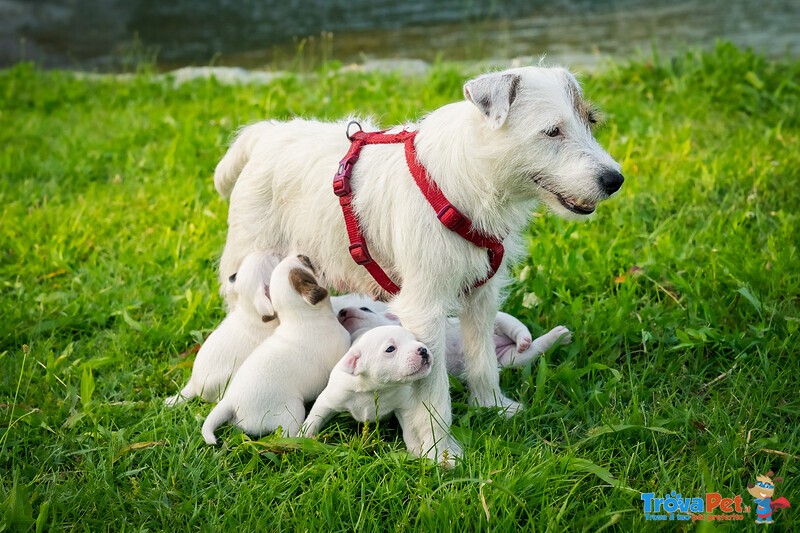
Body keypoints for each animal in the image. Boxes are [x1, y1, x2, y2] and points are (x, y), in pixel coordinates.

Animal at [200, 251, 350, 442]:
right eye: (307, 265)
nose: (302, 254)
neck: (300, 317)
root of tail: (229, 402)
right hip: (292, 409)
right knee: (288, 434)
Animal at [300, 324, 432, 448]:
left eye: (416, 339)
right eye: (390, 349)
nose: (423, 350)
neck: (376, 388)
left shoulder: (404, 407)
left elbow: (411, 432)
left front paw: (415, 451)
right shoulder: (330, 399)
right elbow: (314, 418)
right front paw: (302, 438)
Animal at [334, 300, 572, 378]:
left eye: (365, 308)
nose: (342, 312)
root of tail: (498, 345)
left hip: (497, 322)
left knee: (512, 324)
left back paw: (528, 337)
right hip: (509, 359)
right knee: (532, 351)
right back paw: (558, 337)